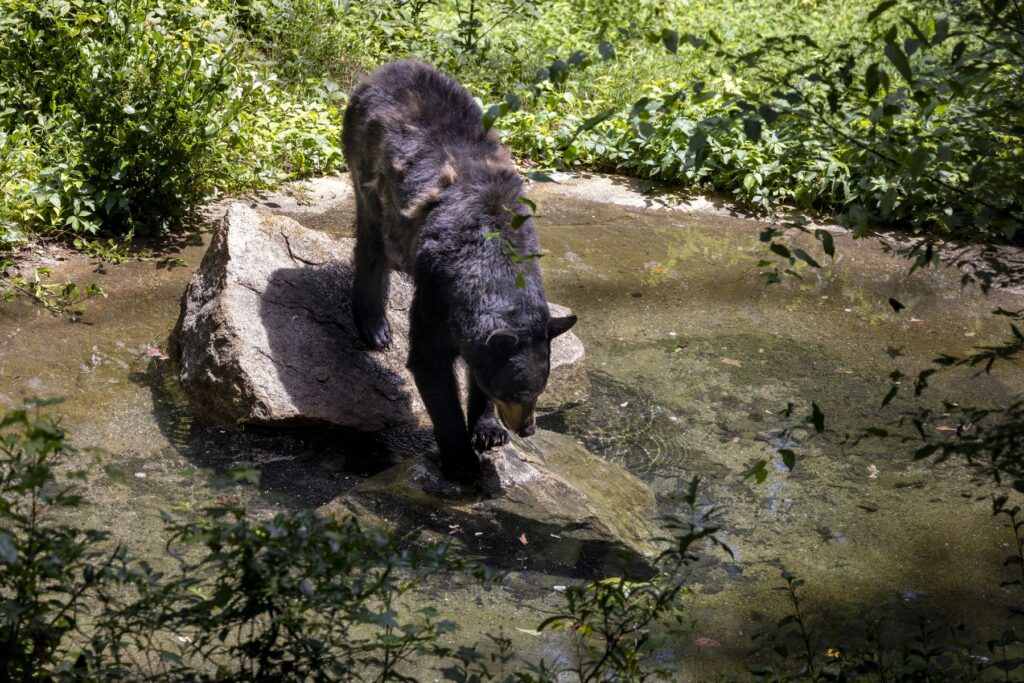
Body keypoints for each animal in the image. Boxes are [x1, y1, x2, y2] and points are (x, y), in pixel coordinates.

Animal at [344, 61, 577, 483]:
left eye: (540, 390)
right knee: (371, 240)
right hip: (365, 166)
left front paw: (488, 431)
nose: (527, 429)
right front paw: (462, 461)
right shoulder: (436, 288)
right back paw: (375, 327)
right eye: (517, 394)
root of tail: (389, 68)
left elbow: (476, 362)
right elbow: (430, 362)